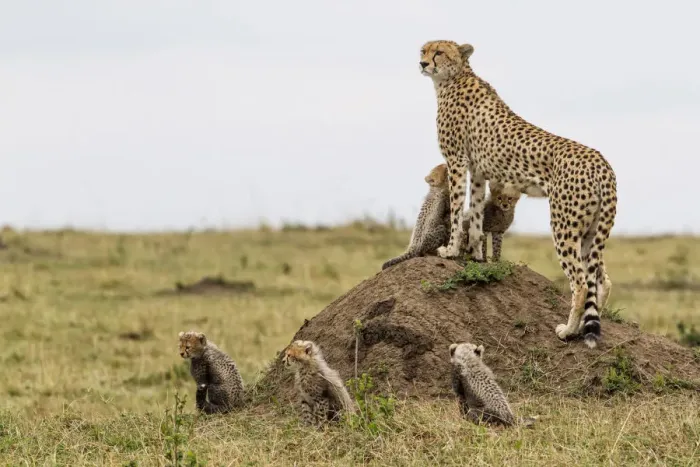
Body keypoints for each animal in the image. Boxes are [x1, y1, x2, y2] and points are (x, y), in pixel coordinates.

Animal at [420, 40, 617, 348]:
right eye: (423, 50)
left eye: (439, 52)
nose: (423, 64)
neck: (454, 77)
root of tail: (601, 161)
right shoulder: (478, 171)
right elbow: (476, 212)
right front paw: (476, 253)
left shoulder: (457, 161)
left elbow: (457, 208)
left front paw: (450, 250)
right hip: (590, 230)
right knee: (601, 279)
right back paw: (591, 324)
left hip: (564, 226)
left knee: (582, 282)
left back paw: (569, 331)